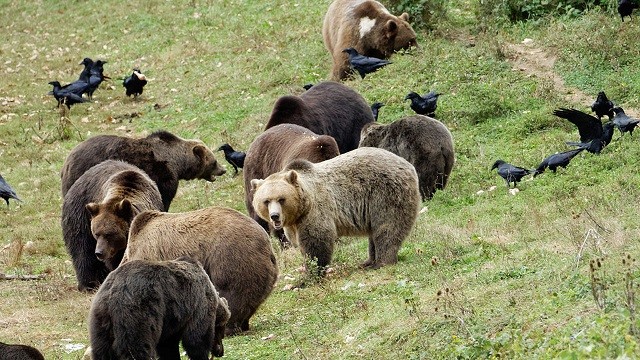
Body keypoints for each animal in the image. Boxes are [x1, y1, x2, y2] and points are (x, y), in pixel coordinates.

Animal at [60, 130, 225, 210]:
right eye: (214, 161)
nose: (223, 170)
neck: (178, 163)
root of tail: (66, 163)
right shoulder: (163, 176)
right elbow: (163, 199)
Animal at [61, 160, 164, 292]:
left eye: (110, 234)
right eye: (96, 233)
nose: (99, 252)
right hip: (80, 213)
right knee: (82, 249)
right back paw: (89, 284)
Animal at [88, 258, 230, 358]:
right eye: (221, 329)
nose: (220, 351)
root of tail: (111, 293)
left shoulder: (171, 321)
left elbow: (168, 347)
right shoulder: (199, 305)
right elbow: (196, 339)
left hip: (100, 322)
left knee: (102, 351)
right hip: (137, 313)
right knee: (137, 348)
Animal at [252, 146, 422, 272]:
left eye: (281, 199)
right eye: (266, 201)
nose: (274, 216)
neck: (301, 208)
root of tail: (408, 165)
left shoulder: (315, 211)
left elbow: (317, 241)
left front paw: (311, 272)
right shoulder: (294, 224)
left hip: (386, 194)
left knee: (387, 228)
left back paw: (381, 262)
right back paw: (368, 261)